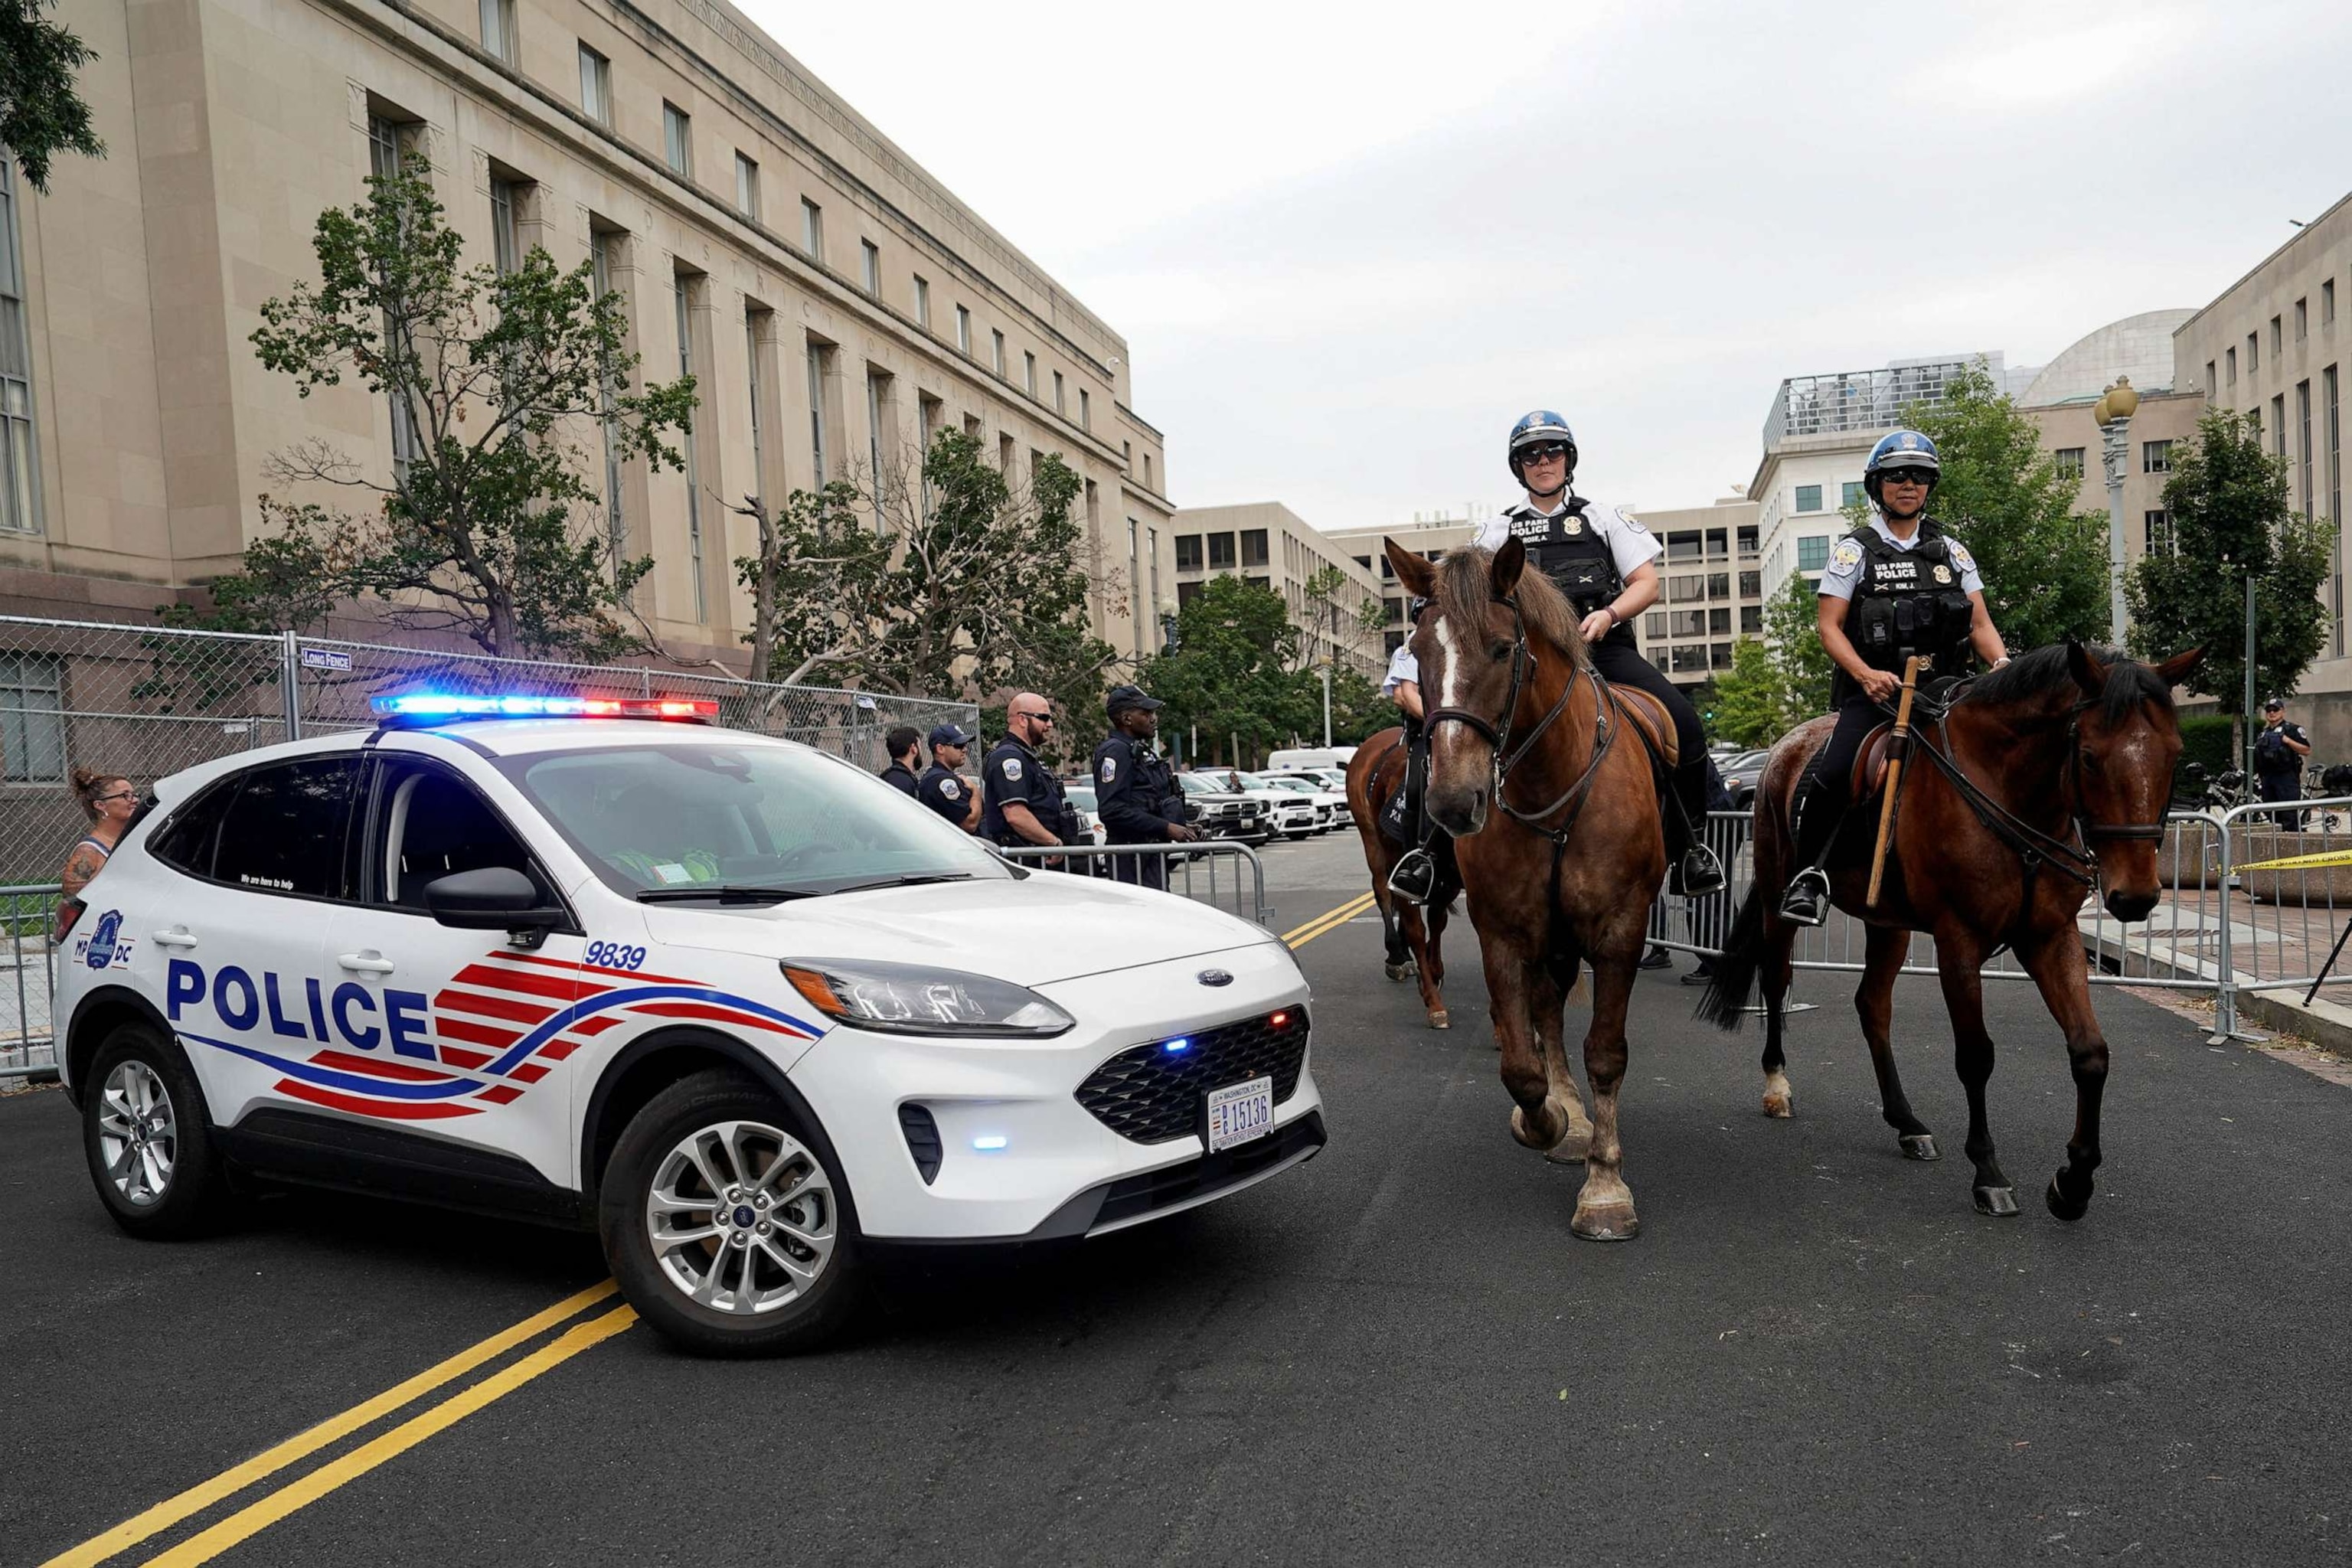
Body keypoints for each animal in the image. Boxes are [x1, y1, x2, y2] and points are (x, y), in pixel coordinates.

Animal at [1345, 733, 1449, 1029]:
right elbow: (1418, 927)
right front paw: (1433, 998)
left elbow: (1437, 921)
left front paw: (1433, 972)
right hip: (1372, 841)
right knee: (1382, 891)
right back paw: (1396, 956)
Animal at [1383, 533, 1684, 1241]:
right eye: (1421, 652)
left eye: (1501, 648)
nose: (1452, 802)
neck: (1554, 783)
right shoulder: (1505, 931)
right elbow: (1521, 1065)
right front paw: (1549, 1121)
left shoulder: (1619, 931)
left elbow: (1606, 1052)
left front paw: (1605, 1186)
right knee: (1545, 1009)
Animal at [1703, 639, 2192, 1222]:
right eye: (2091, 756)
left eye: (2174, 754)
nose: (2136, 897)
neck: (2006, 789)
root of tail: (1783, 747)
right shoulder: (1958, 939)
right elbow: (1975, 1055)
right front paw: (1989, 1173)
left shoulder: (2051, 936)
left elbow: (2090, 1053)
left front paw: (2073, 1184)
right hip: (1780, 902)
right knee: (1776, 982)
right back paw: (1778, 1084)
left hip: (1886, 924)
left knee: (1873, 1006)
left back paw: (1906, 1122)